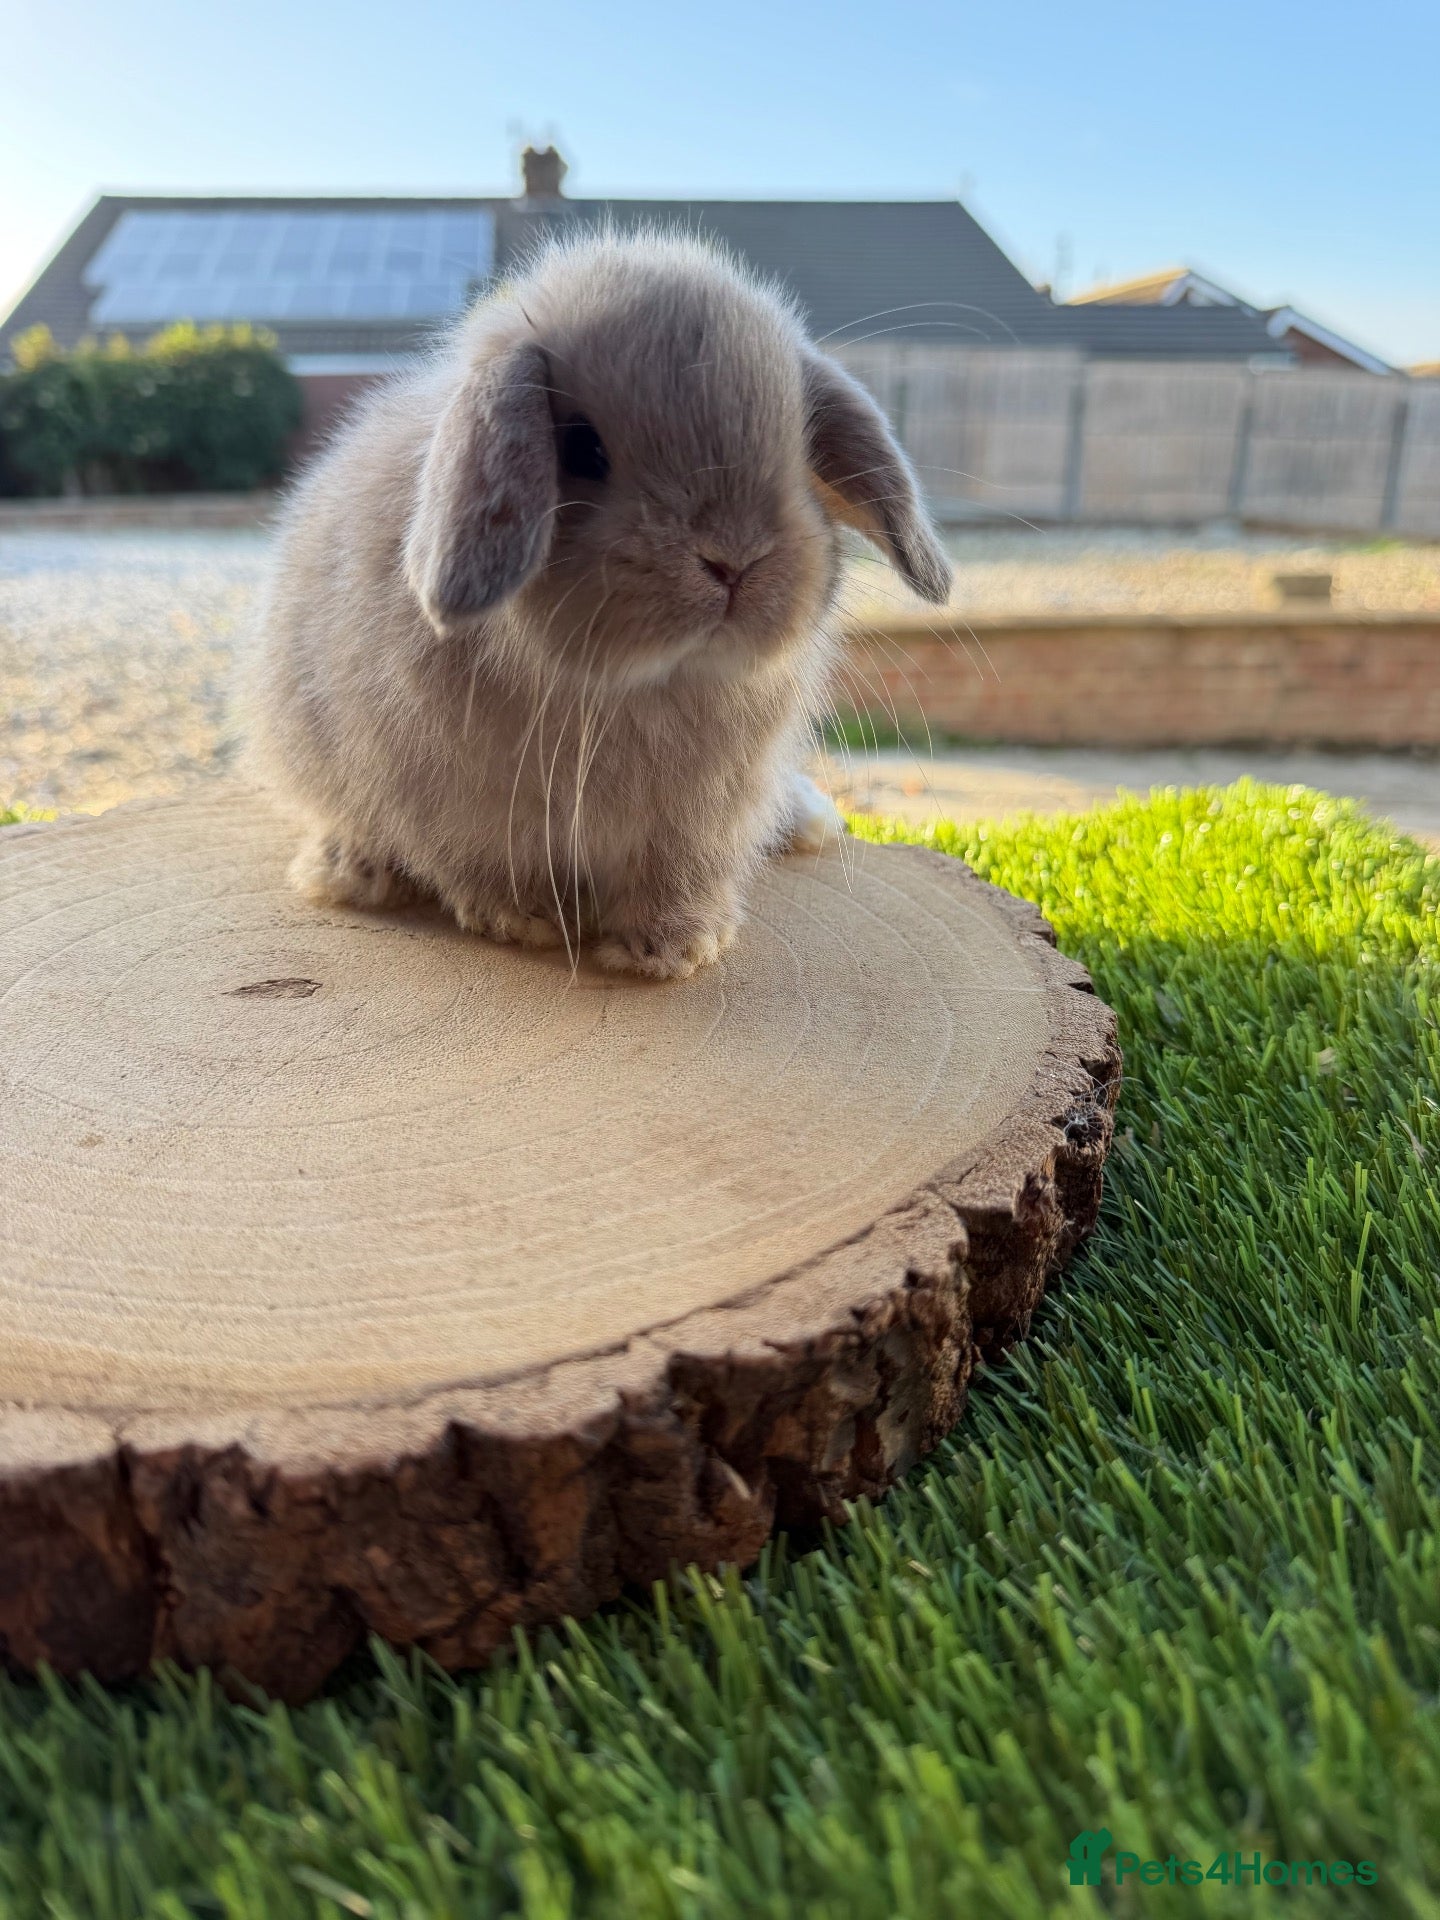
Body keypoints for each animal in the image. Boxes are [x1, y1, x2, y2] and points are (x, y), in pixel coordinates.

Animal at [247, 230, 951, 980]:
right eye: (582, 446)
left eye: (796, 444)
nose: (734, 560)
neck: (638, 688)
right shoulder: (453, 806)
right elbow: (478, 868)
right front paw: (524, 920)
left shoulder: (697, 823)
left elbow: (677, 878)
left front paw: (674, 948)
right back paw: (350, 869)